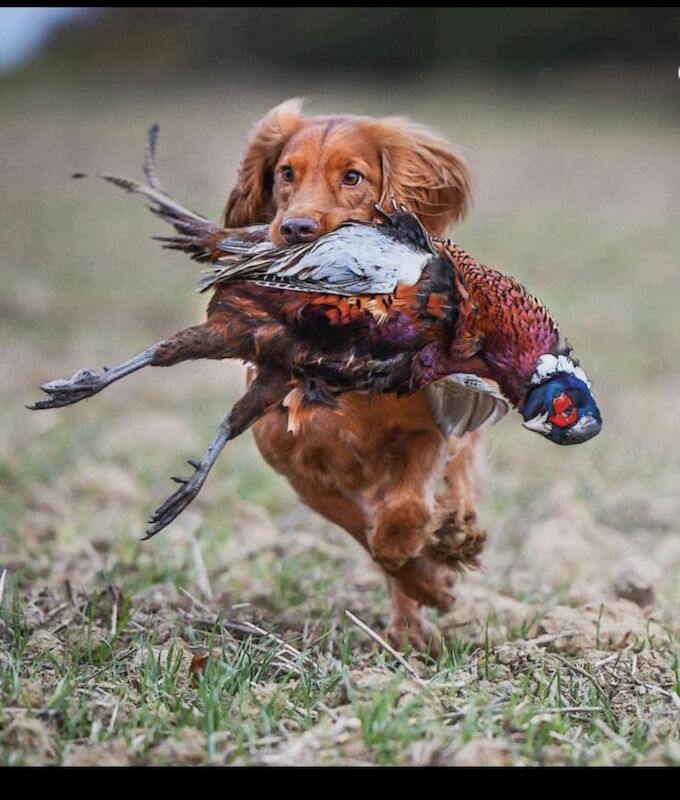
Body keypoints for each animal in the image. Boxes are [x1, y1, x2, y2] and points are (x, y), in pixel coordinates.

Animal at [223, 100, 478, 648]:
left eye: (353, 177)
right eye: (286, 173)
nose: (296, 228)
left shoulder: (424, 432)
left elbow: (407, 507)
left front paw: (426, 561)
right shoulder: (298, 467)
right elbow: (362, 528)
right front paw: (424, 582)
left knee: (461, 472)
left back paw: (456, 533)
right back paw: (409, 624)